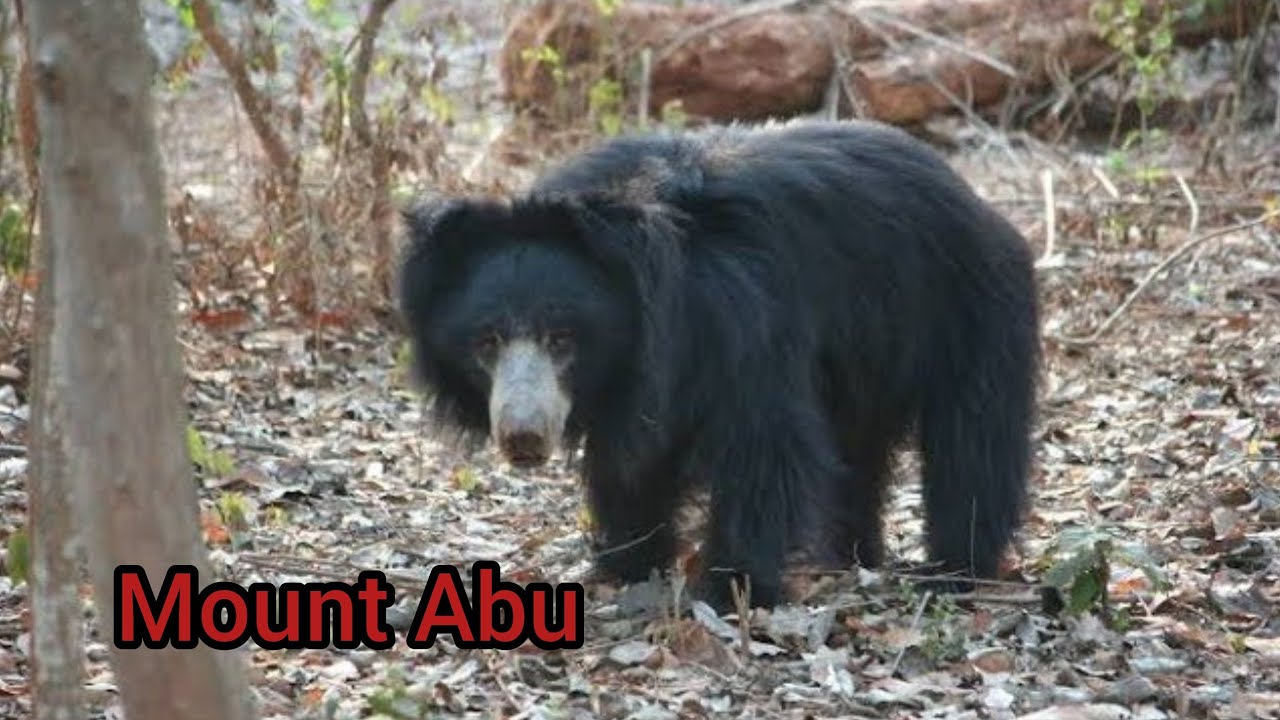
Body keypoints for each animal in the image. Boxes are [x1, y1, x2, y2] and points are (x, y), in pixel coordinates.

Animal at [396, 119, 1040, 610]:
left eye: (561, 339)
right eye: (486, 341)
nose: (523, 437)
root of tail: (971, 196)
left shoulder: (743, 318)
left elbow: (764, 443)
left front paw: (731, 587)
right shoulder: (637, 381)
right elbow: (634, 460)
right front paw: (629, 563)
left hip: (966, 310)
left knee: (973, 440)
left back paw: (956, 567)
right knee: (858, 451)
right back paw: (847, 556)